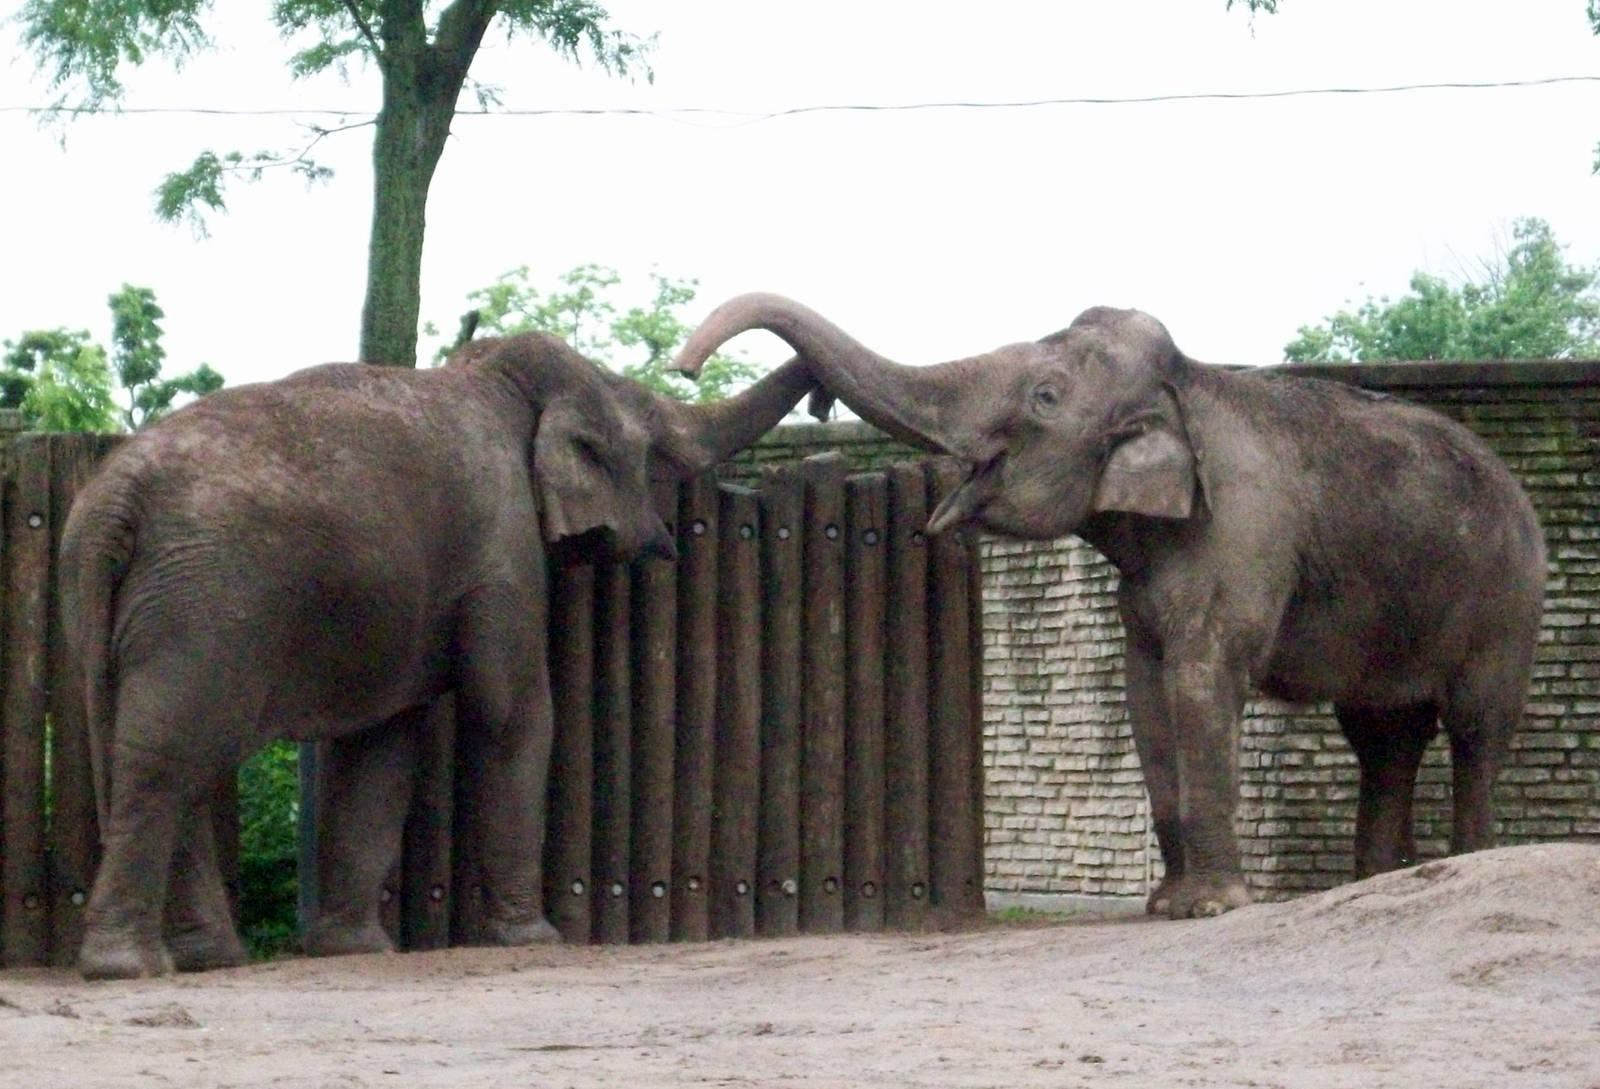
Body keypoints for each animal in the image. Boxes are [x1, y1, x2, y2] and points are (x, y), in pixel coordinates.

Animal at [60, 331, 818, 979]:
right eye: (653, 444)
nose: (821, 399)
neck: (494, 380)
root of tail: (114, 499)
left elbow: (381, 748)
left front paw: (356, 951)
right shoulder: (503, 550)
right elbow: (511, 713)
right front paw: (536, 939)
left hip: (123, 604)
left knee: (163, 757)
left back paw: (207, 959)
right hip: (204, 605)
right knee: (168, 759)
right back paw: (128, 967)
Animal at [674, 293, 1547, 919]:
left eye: (1044, 395)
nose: (683, 369)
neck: (1186, 384)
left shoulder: (1242, 538)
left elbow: (1201, 686)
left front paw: (1207, 908)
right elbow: (1146, 698)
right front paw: (1165, 903)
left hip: (1507, 598)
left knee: (1475, 725)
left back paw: (1471, 861)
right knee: (1383, 736)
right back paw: (1369, 885)